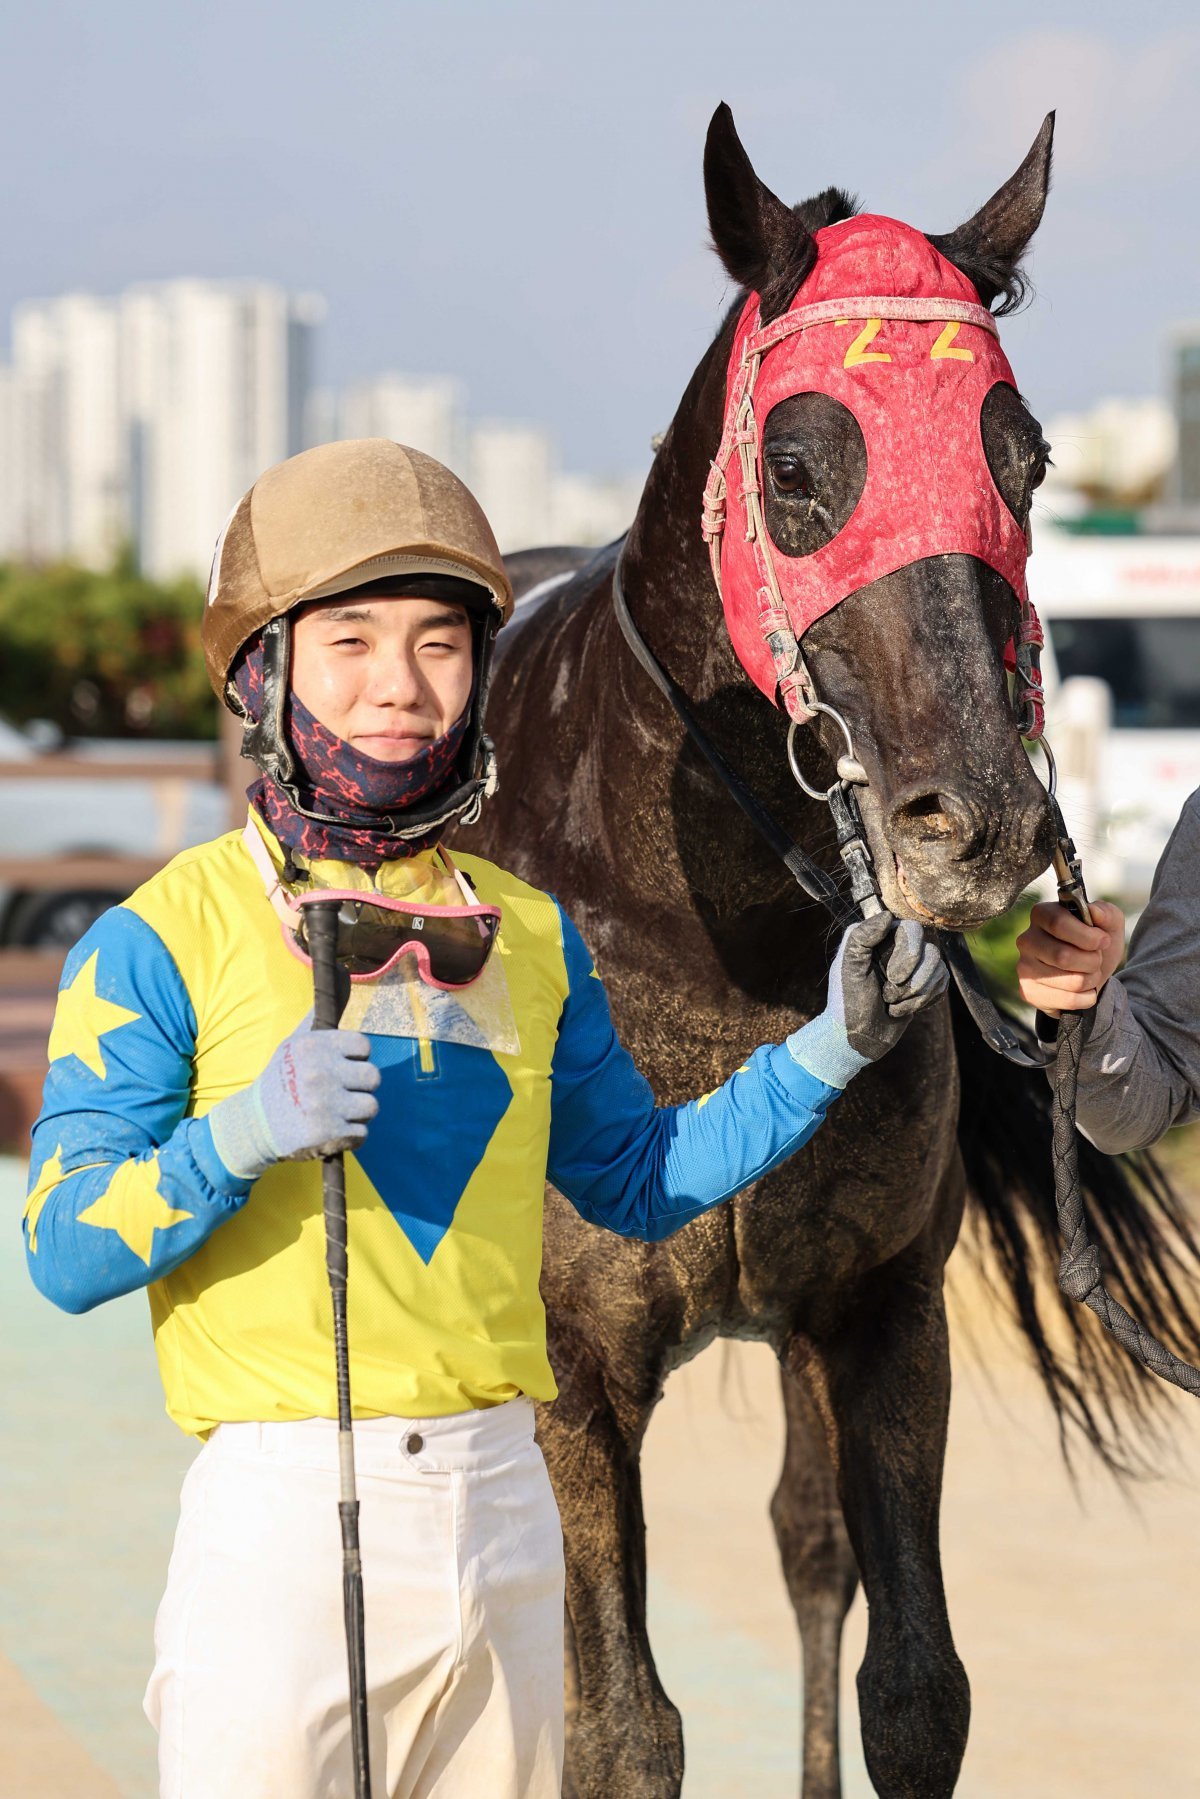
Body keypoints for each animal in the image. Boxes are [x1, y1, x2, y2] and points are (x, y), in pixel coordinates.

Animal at [456, 108, 1200, 1799]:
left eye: (1021, 457)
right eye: (798, 466)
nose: (980, 821)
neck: (715, 941)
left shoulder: (876, 1313)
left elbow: (915, 1682)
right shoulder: (578, 1360)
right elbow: (618, 1724)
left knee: (807, 1540)